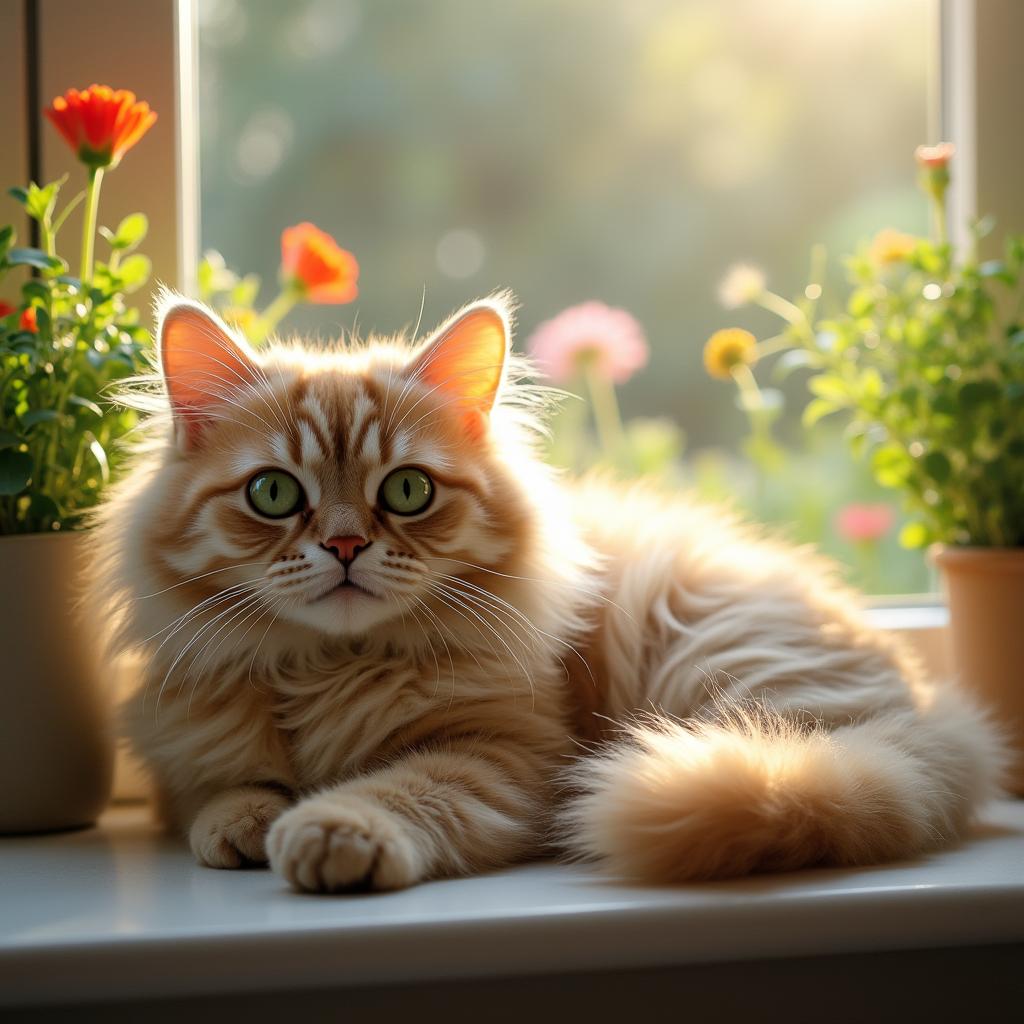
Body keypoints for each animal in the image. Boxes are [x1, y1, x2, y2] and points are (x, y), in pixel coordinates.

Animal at [88, 292, 999, 892]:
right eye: (274, 494)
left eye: (408, 491)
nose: (345, 545)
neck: (326, 667)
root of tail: (926, 713)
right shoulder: (184, 744)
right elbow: (221, 786)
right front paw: (242, 820)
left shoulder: (507, 754)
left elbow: (401, 789)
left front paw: (331, 830)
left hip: (717, 663)